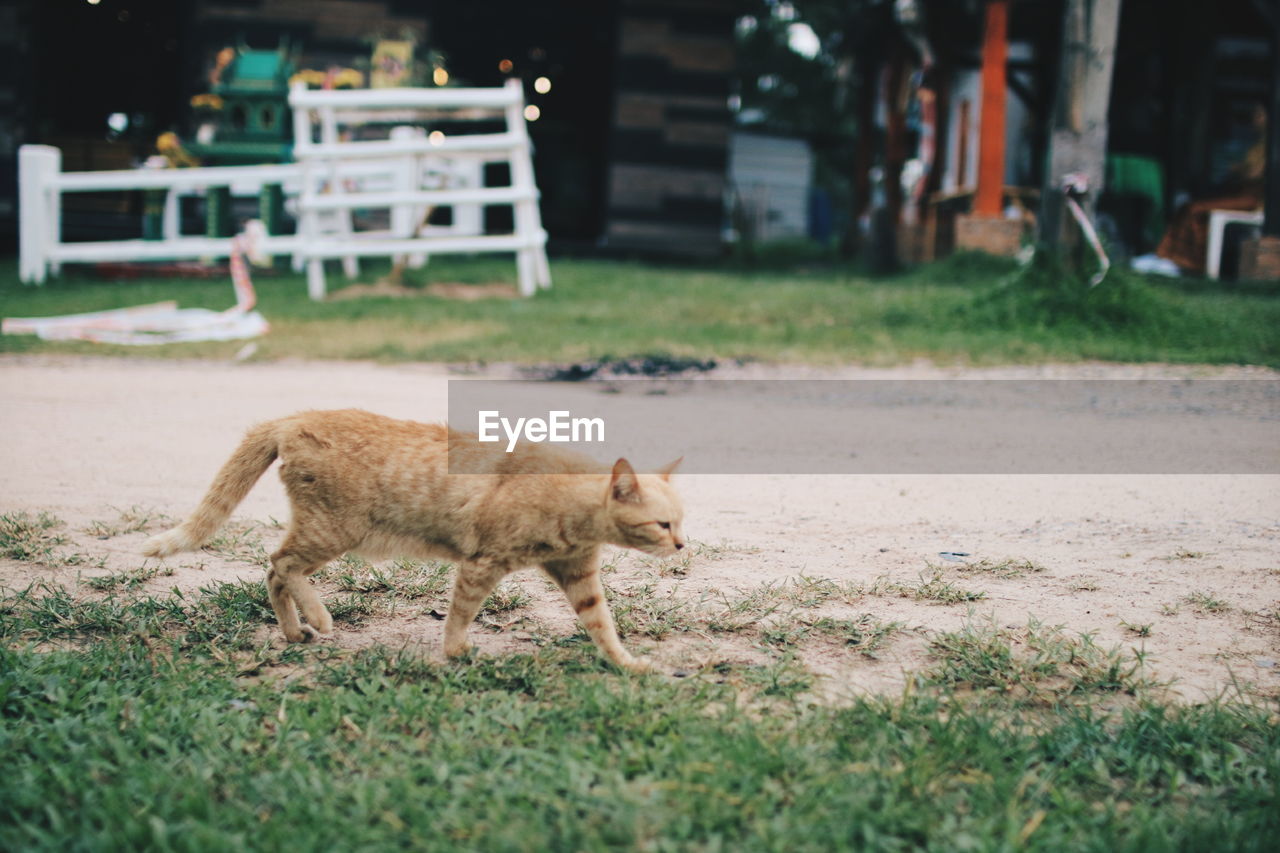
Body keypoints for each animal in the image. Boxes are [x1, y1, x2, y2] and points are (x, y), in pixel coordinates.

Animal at [144, 407, 686, 671]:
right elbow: (460, 614)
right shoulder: (481, 563)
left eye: (681, 522)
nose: (681, 545)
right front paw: (455, 652)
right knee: (281, 563)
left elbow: (603, 626)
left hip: (325, 534)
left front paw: (627, 665)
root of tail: (294, 417)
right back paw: (317, 617)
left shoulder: (580, 578)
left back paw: (295, 632)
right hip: (333, 531)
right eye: (662, 524)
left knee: (275, 572)